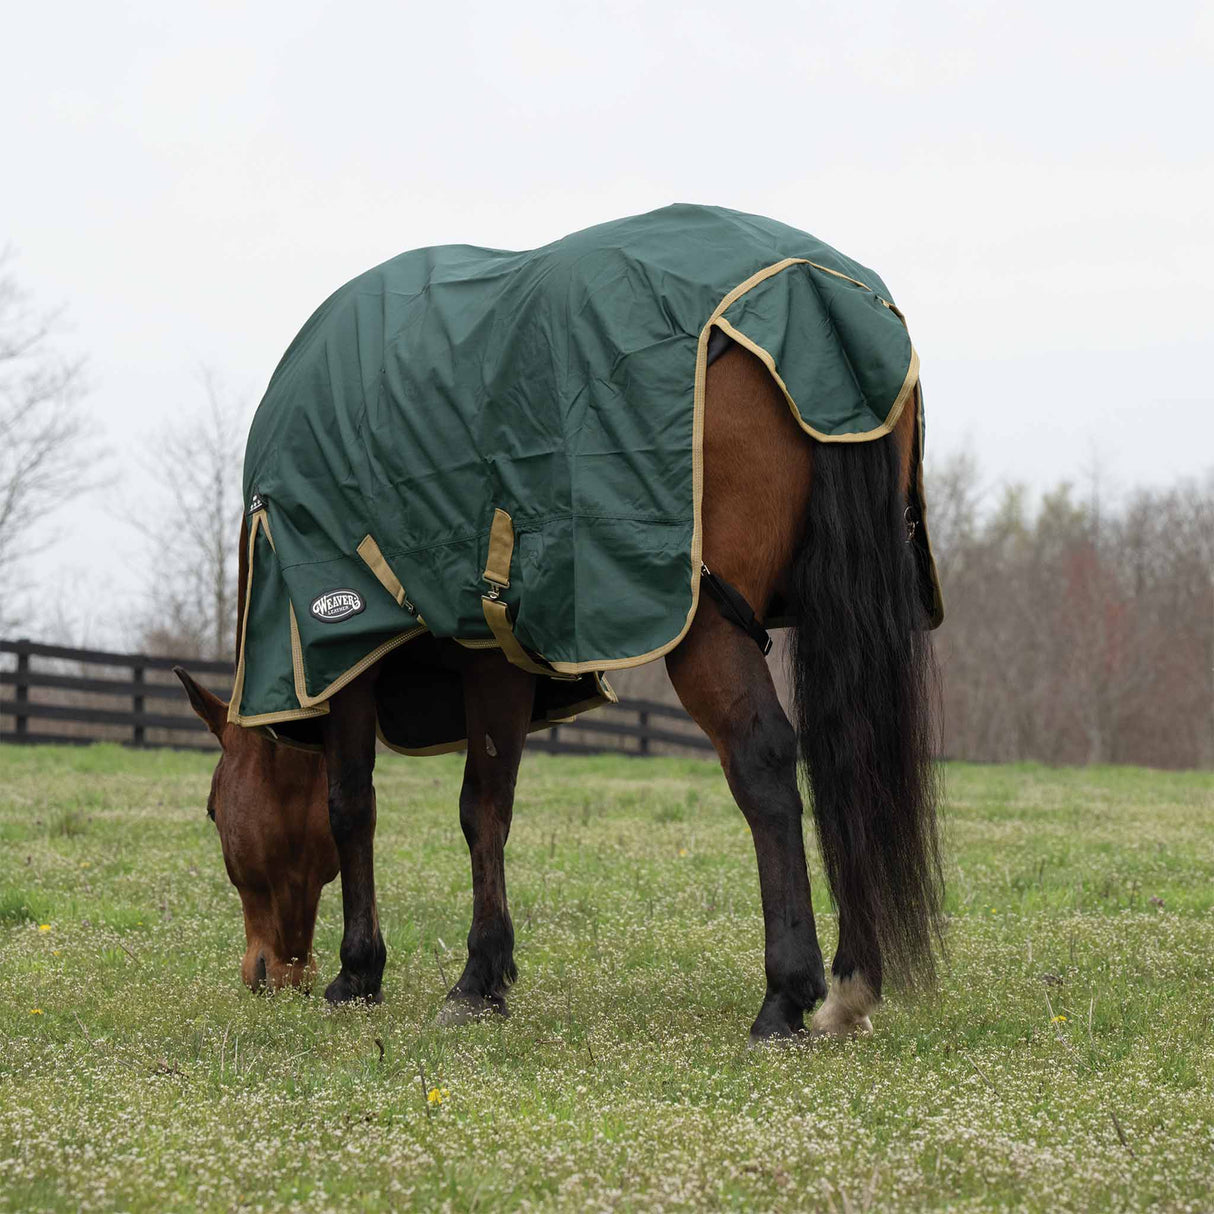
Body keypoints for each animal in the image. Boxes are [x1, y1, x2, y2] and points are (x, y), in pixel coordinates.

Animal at [176, 334, 942, 1041]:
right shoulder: (494, 654)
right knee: (851, 760)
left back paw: (786, 997)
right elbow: (485, 809)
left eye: (211, 812)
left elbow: (351, 807)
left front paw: (360, 973)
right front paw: (481, 979)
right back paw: (852, 988)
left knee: (766, 766)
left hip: (706, 627)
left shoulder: (344, 657)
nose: (264, 974)